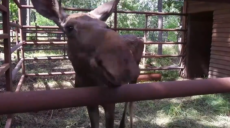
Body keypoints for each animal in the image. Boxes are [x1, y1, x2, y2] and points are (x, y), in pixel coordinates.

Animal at [30, 0, 144, 128]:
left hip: (134, 80)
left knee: (130, 102)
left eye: (106, 25)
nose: (125, 66)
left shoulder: (110, 104)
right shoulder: (90, 104)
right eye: (69, 27)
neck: (88, 81)